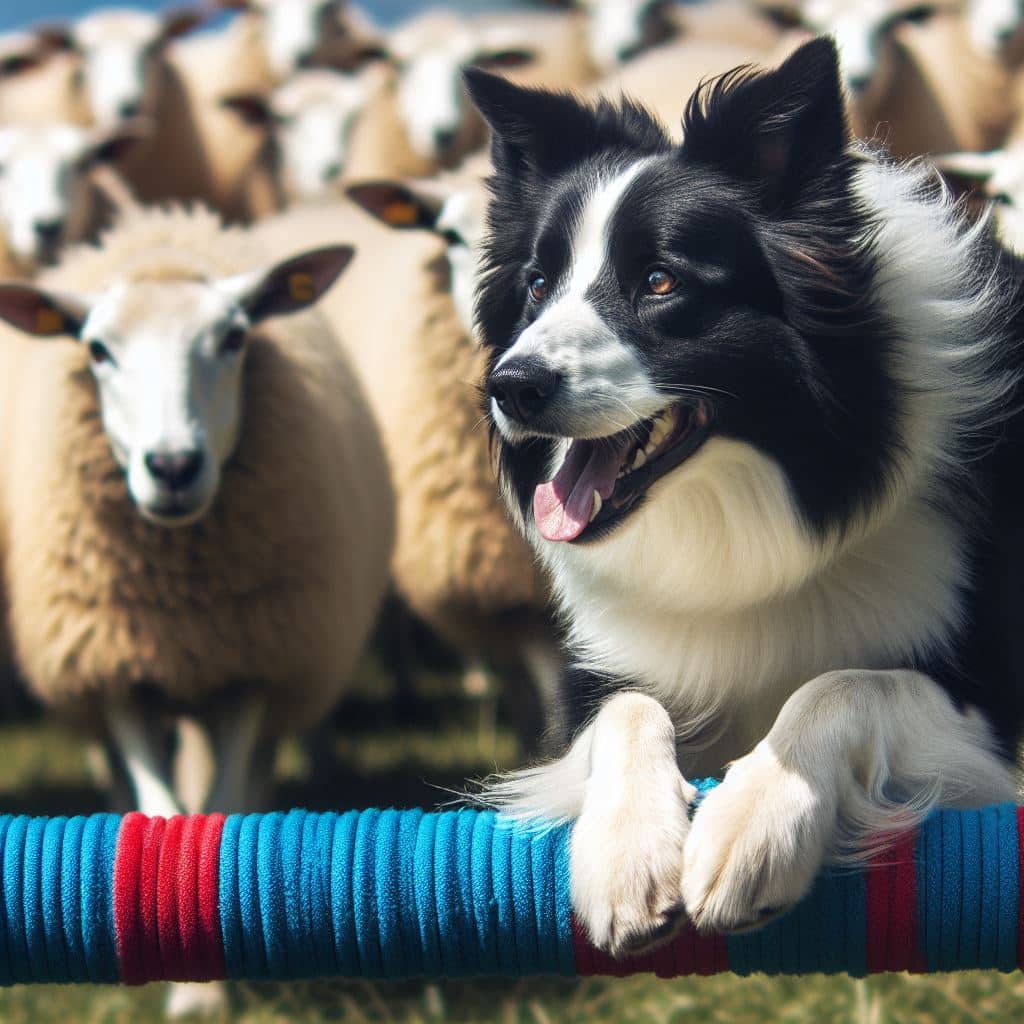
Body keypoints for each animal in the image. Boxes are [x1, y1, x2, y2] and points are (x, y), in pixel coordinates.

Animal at [0, 201, 393, 823]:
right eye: (97, 350)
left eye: (235, 337)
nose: (173, 466)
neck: (179, 600)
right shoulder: (116, 672)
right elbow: (158, 805)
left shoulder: (253, 669)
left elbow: (222, 799)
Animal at [468, 39, 1024, 950]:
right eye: (539, 285)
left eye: (661, 281)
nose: (509, 386)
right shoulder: (600, 675)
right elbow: (629, 711)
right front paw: (626, 856)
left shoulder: (983, 696)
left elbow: (840, 684)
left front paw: (752, 827)